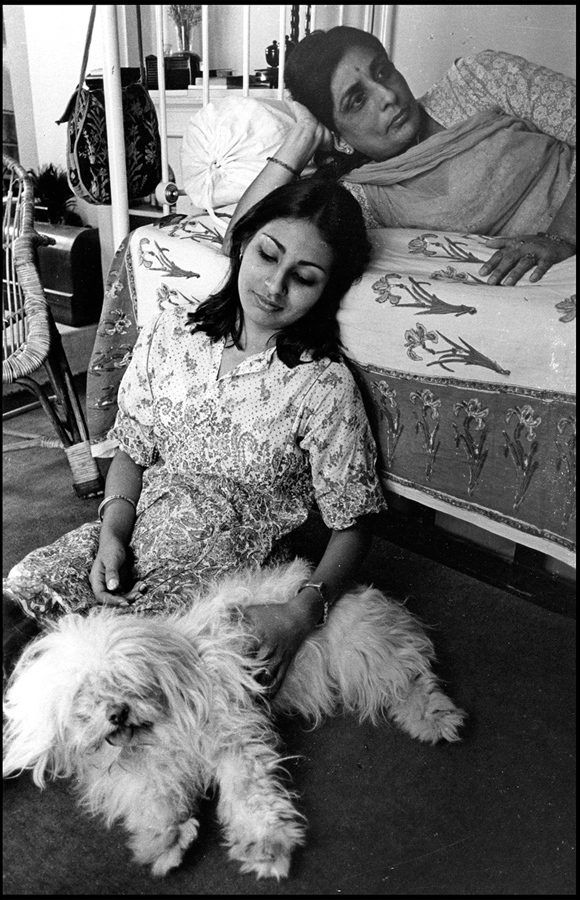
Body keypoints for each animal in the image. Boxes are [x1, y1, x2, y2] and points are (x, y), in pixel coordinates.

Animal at [3, 560, 466, 884]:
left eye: (128, 681)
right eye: (83, 695)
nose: (117, 713)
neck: (162, 731)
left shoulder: (233, 740)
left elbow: (250, 796)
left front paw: (266, 847)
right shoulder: (148, 772)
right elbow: (155, 801)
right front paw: (163, 842)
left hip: (361, 655)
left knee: (412, 680)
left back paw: (437, 720)